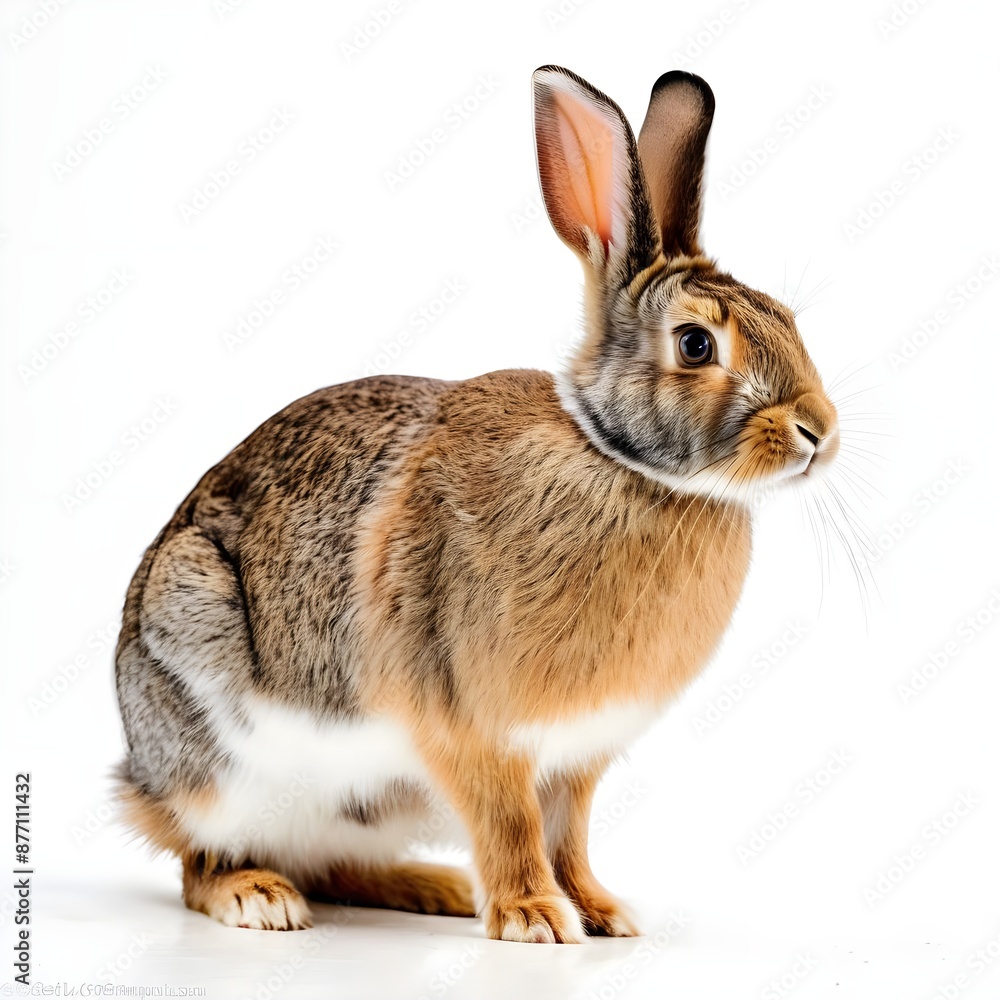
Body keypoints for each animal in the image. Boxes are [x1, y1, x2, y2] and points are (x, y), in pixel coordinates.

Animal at [114, 64, 839, 943]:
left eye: (787, 318)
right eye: (697, 344)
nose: (819, 431)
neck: (622, 463)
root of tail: (141, 774)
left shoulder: (575, 759)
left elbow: (568, 834)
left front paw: (602, 912)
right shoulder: (472, 732)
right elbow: (511, 825)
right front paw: (535, 918)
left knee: (331, 862)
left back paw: (435, 889)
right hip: (215, 721)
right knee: (203, 858)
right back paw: (259, 897)